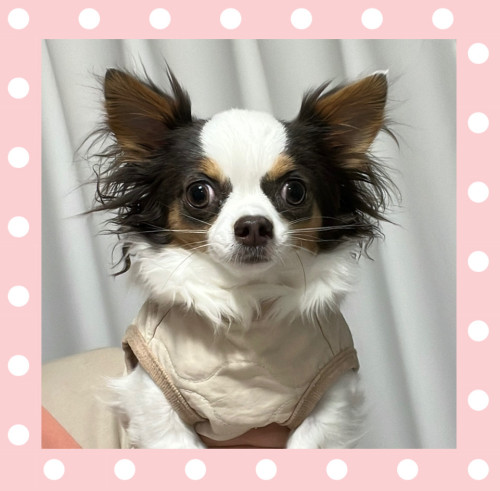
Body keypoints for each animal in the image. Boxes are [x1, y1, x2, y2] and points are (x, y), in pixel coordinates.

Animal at [87, 66, 395, 448]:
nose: (253, 226)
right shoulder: (153, 396)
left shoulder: (332, 393)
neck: (247, 297)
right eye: (199, 193)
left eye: (295, 191)